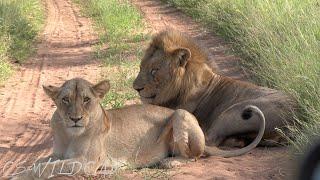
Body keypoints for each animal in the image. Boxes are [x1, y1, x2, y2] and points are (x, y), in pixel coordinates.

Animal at [10, 78, 264, 179]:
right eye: (65, 100)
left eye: (86, 100)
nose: (75, 118)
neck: (69, 133)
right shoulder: (58, 154)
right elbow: (40, 162)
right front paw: (21, 171)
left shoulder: (87, 163)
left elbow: (47, 168)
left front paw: (20, 175)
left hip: (180, 114)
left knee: (194, 156)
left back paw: (168, 162)